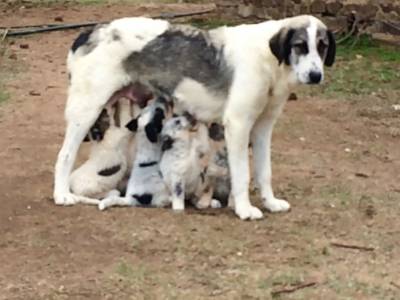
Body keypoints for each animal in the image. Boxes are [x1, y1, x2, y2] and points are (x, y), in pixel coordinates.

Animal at [53, 14, 334, 220]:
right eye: (300, 46)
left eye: (322, 47)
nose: (316, 76)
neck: (268, 58)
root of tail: (89, 32)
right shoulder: (238, 125)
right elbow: (242, 174)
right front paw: (244, 209)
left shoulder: (263, 128)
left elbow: (264, 171)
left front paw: (271, 203)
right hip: (85, 112)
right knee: (64, 156)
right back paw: (62, 195)